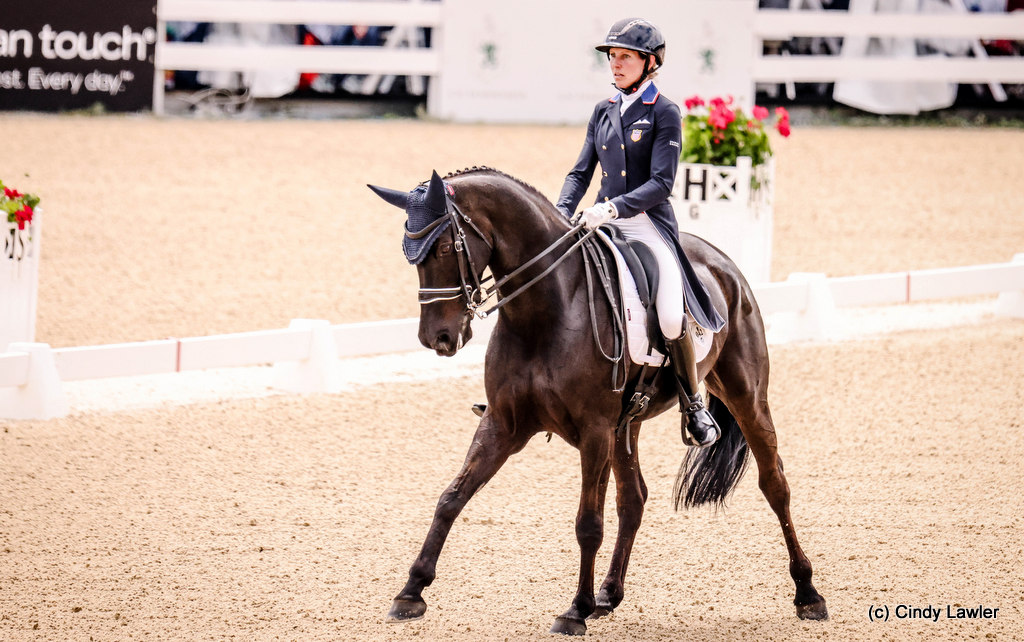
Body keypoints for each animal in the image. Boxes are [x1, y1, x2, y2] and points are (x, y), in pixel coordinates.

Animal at [368, 166, 823, 638]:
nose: (436, 339)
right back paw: (608, 593)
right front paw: (411, 592)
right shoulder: (503, 425)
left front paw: (574, 611)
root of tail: (722, 262)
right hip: (628, 424)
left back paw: (808, 594)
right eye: (410, 255)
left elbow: (588, 524)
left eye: (444, 247)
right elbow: (451, 498)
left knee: (775, 484)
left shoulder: (594, 431)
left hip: (745, 396)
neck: (545, 310)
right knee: (634, 498)